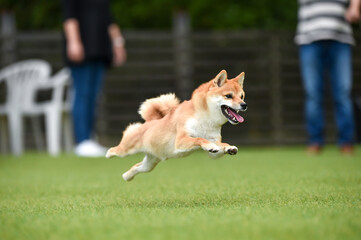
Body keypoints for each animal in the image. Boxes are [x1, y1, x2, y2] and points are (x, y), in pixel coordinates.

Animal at [105, 70, 246, 181]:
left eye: (242, 96)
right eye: (228, 96)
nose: (244, 105)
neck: (205, 119)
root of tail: (149, 122)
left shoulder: (213, 147)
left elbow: (220, 145)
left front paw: (229, 148)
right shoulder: (181, 140)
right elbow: (199, 139)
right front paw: (209, 145)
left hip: (150, 163)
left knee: (137, 167)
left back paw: (127, 176)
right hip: (127, 150)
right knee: (115, 150)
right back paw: (107, 154)